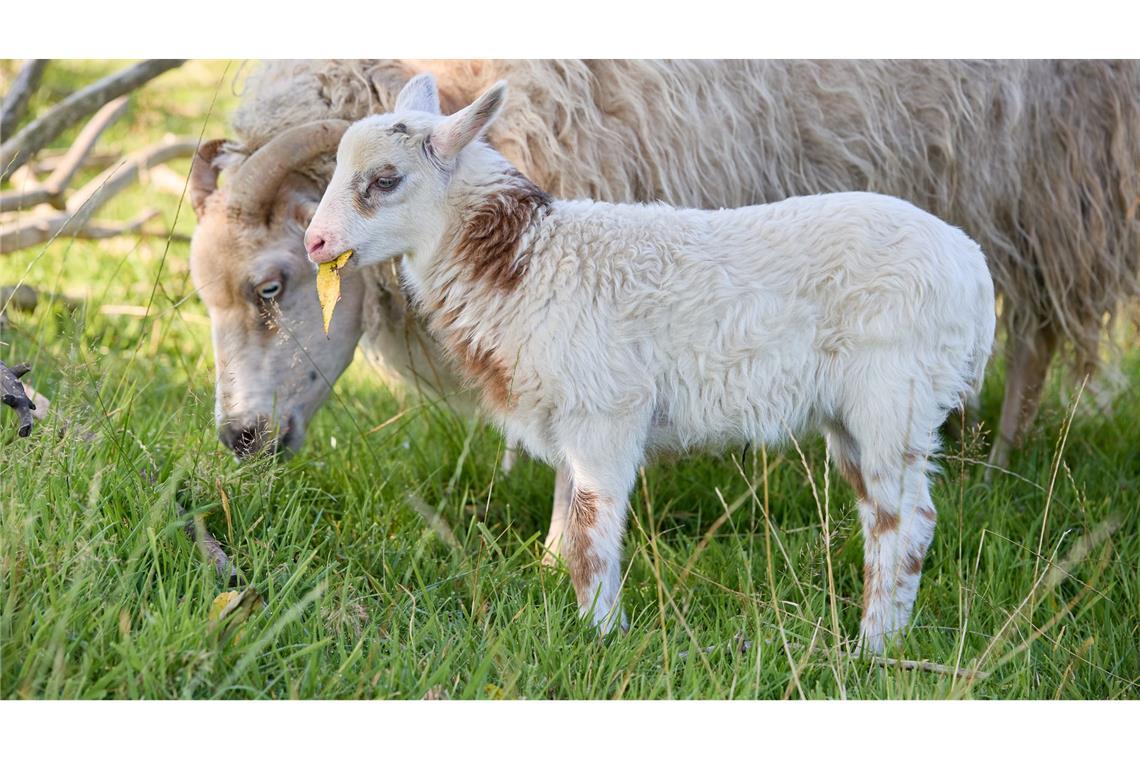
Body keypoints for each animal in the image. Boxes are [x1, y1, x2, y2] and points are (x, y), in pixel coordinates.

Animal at [305, 74, 998, 651]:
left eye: (385, 180)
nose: (315, 242)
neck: (525, 262)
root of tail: (973, 267)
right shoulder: (570, 416)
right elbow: (571, 527)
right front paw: (576, 614)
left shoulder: (606, 412)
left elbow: (590, 536)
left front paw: (600, 636)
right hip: (858, 412)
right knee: (890, 514)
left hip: (895, 393)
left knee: (904, 522)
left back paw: (873, 649)